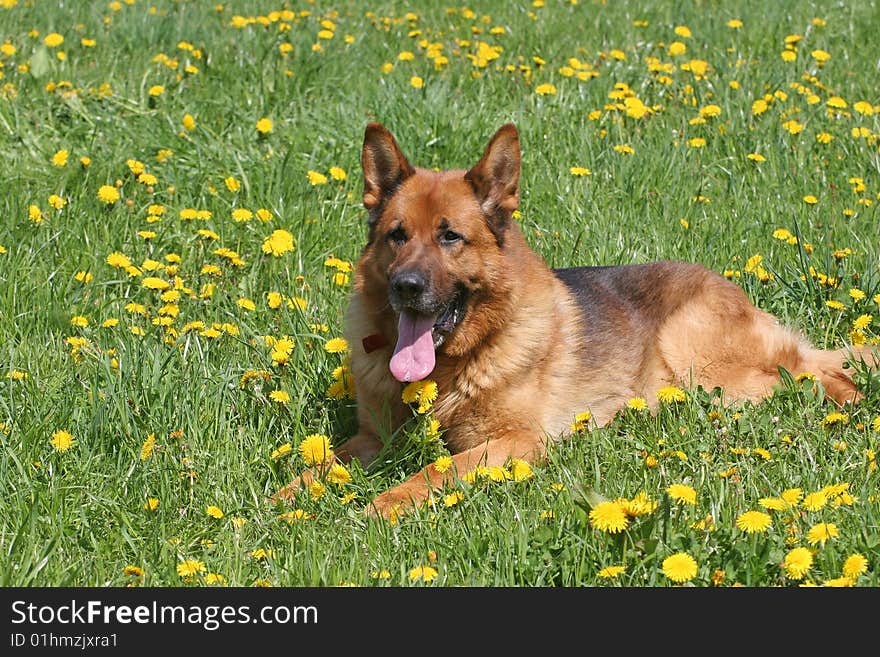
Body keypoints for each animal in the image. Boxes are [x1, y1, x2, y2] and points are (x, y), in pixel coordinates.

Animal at [276, 121, 872, 516]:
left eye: (450, 237)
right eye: (397, 236)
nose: (406, 287)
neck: (446, 369)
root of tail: (726, 284)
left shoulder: (513, 442)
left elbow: (430, 471)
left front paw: (381, 505)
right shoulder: (372, 440)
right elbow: (318, 465)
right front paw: (282, 497)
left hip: (706, 363)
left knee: (818, 374)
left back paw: (845, 409)